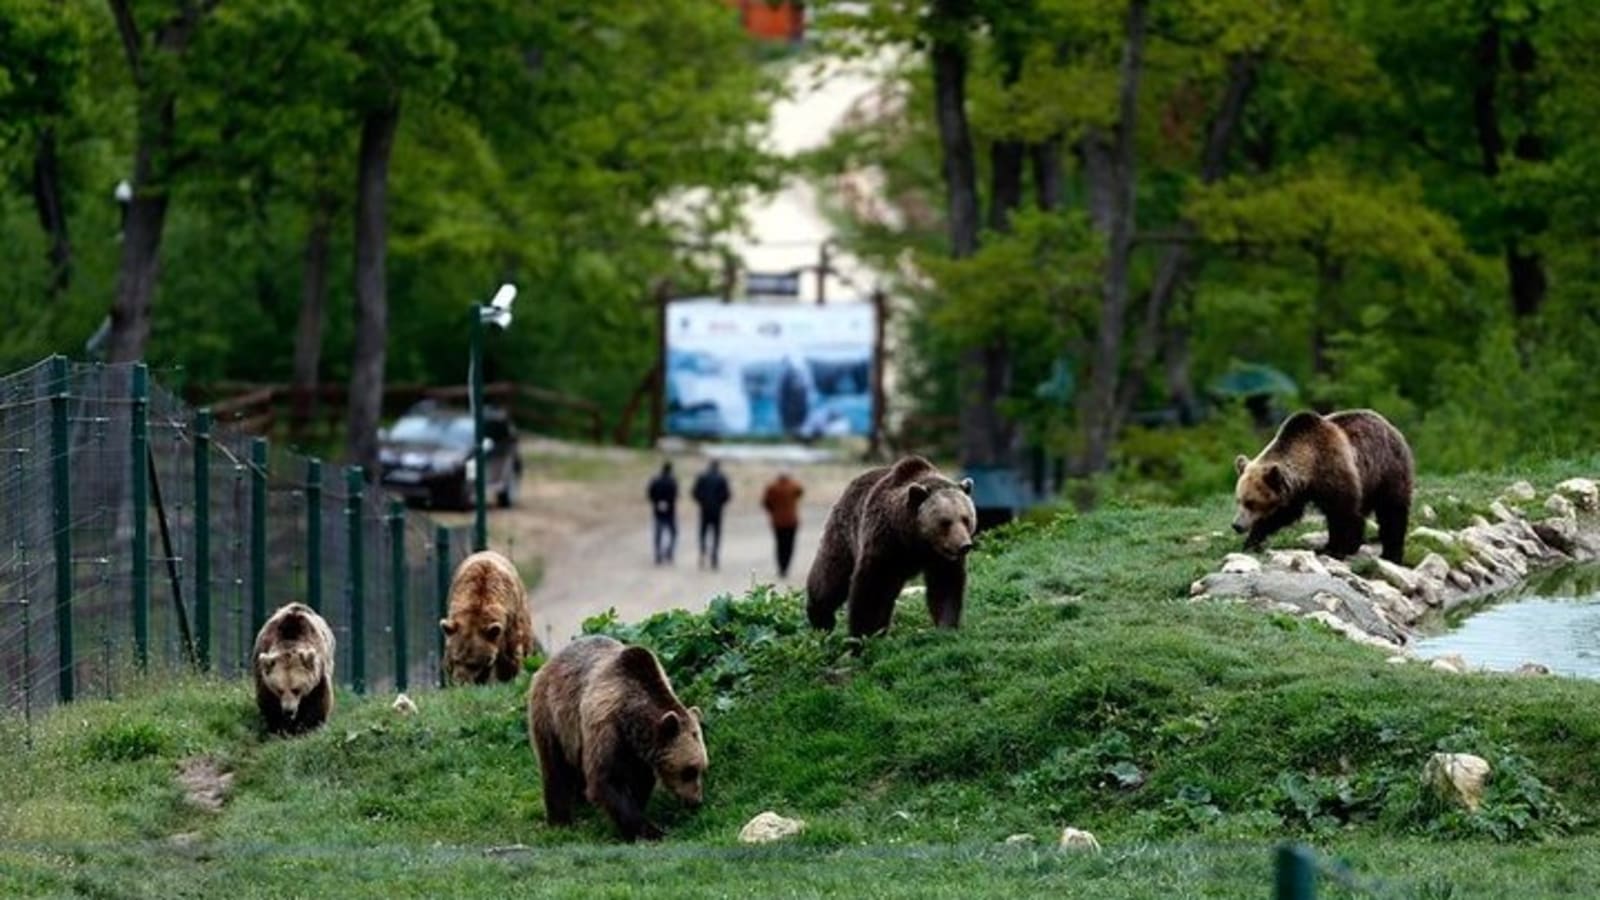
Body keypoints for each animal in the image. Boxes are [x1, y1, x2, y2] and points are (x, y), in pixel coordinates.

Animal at [252, 602, 336, 736]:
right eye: (280, 690)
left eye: (296, 689)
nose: (289, 711)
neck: (289, 640)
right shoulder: (263, 675)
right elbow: (268, 703)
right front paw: (278, 728)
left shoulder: (319, 674)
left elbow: (319, 702)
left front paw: (308, 727)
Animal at [440, 550, 535, 685]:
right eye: (456, 659)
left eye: (473, 664)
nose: (461, 682)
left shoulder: (509, 622)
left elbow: (510, 654)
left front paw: (508, 676)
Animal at [526, 635, 707, 842]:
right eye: (689, 770)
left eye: (702, 768)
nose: (696, 801)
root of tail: (549, 662)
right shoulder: (606, 727)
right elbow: (607, 780)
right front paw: (652, 831)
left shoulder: (638, 749)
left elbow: (640, 779)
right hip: (552, 716)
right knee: (555, 767)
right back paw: (560, 821)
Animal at [805, 455, 978, 639]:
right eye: (945, 522)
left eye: (966, 519)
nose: (964, 545)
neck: (916, 542)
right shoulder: (885, 544)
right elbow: (870, 587)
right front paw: (861, 634)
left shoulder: (940, 559)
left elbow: (946, 586)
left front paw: (947, 627)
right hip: (844, 536)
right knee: (831, 577)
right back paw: (820, 619)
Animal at [1232, 409, 1414, 563]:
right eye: (1239, 500)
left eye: (1251, 502)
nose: (1237, 525)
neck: (1310, 466)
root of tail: (1390, 425)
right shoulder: (1296, 492)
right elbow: (1282, 514)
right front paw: (1251, 542)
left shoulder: (1334, 469)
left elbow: (1344, 512)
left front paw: (1342, 548)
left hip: (1387, 469)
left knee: (1392, 511)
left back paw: (1390, 554)